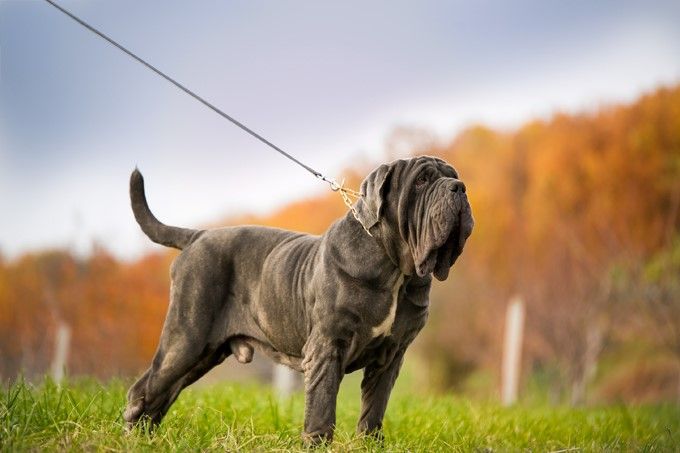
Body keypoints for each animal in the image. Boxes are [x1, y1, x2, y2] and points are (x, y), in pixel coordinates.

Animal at [122, 154, 472, 442]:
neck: (396, 269)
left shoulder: (390, 356)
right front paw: (317, 443)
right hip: (186, 339)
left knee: (161, 395)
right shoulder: (327, 346)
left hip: (203, 354)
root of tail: (198, 235)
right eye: (422, 180)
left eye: (453, 175)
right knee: (143, 390)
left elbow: (373, 411)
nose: (460, 187)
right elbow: (322, 408)